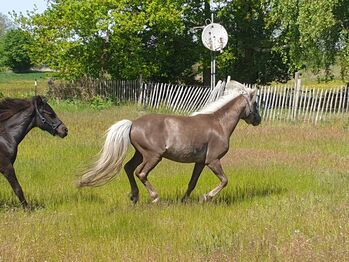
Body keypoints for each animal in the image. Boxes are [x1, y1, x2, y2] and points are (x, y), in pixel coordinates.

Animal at [78, 81, 258, 204]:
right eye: (255, 103)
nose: (258, 120)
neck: (219, 124)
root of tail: (133, 123)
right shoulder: (213, 160)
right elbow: (224, 180)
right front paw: (206, 197)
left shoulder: (200, 162)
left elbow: (192, 183)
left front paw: (185, 200)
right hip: (153, 156)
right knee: (140, 173)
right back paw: (155, 198)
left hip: (140, 154)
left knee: (129, 168)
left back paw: (134, 197)